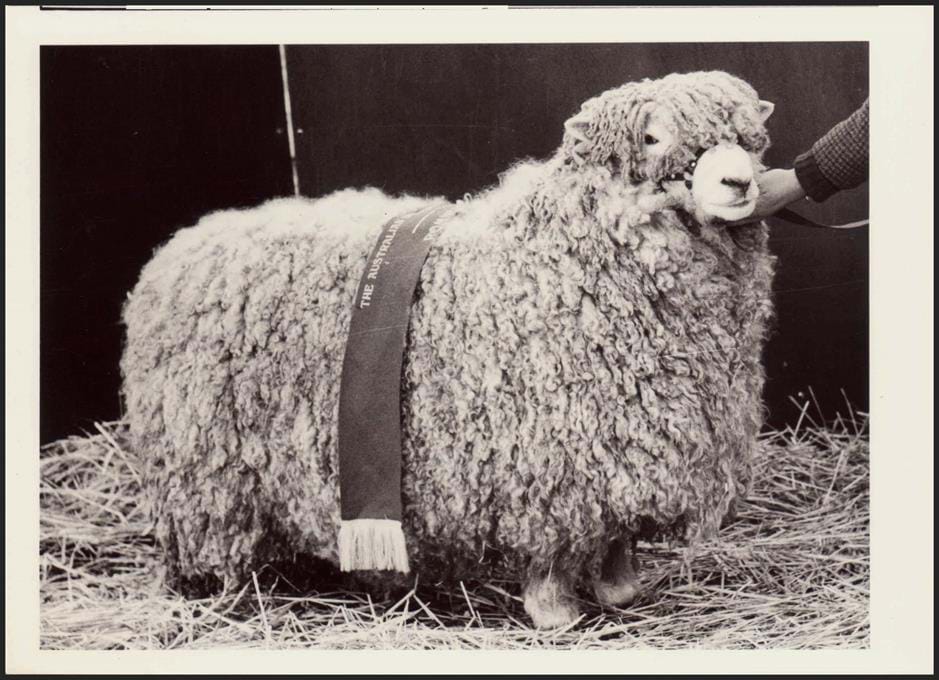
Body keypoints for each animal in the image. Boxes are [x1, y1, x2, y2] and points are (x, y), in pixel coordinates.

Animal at [121, 70, 777, 629]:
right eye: (651, 136)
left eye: (747, 137)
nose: (739, 182)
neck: (559, 263)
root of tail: (180, 247)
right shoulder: (545, 462)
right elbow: (551, 556)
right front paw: (555, 614)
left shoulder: (620, 458)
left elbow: (615, 539)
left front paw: (620, 590)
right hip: (205, 465)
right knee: (210, 535)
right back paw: (222, 592)